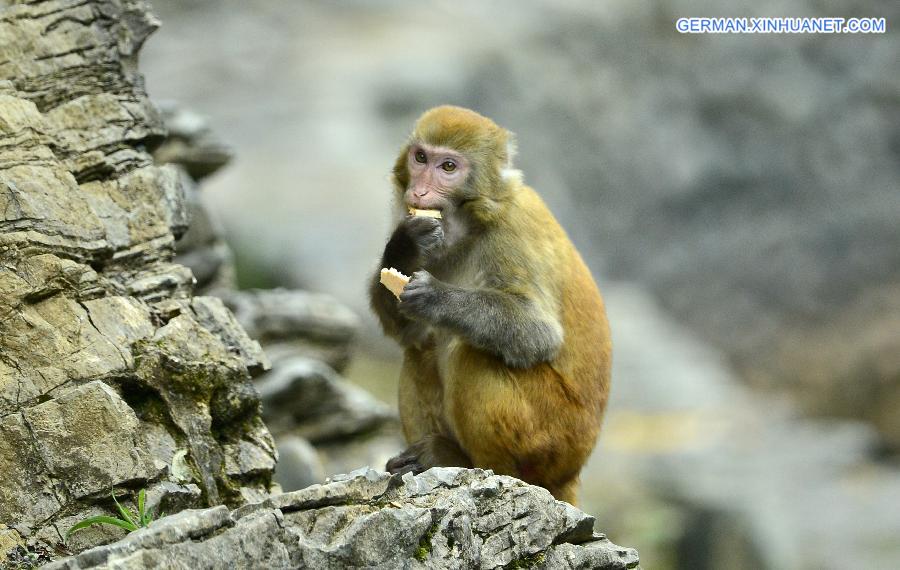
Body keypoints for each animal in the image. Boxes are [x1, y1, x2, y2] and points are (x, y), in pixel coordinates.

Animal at [368, 104, 612, 504]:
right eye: (420, 158)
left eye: (448, 167)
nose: (420, 191)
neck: (470, 224)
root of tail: (573, 471)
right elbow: (407, 329)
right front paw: (405, 246)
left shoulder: (512, 233)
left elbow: (538, 332)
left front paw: (438, 298)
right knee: (421, 348)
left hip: (552, 435)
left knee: (468, 353)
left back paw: (474, 466)